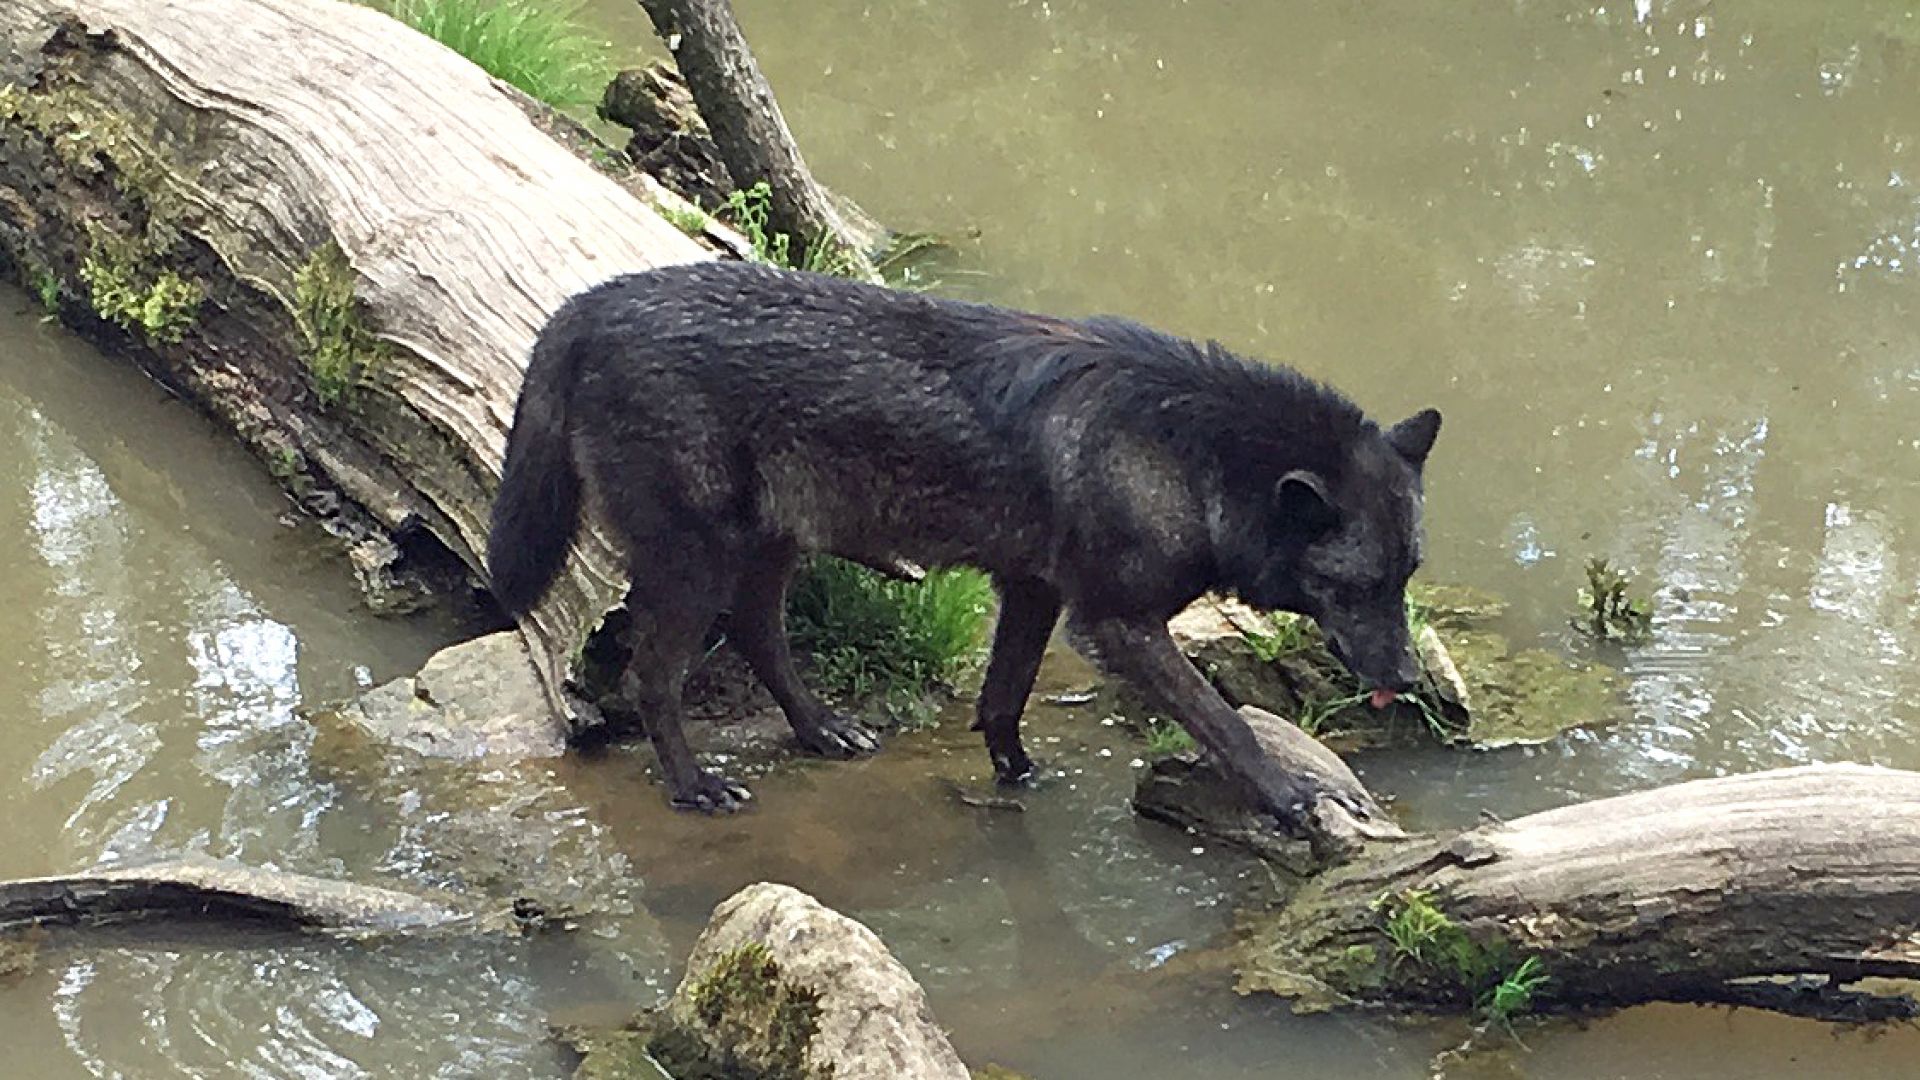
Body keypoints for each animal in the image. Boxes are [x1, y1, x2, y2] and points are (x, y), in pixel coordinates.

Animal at [487, 261, 1436, 822]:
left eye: (1407, 575)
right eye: (1358, 588)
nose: (1409, 676)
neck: (1192, 456)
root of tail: (589, 303)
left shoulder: (1033, 592)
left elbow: (1002, 696)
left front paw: (1015, 773)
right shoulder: (1119, 626)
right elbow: (1225, 723)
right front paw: (1289, 796)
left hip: (770, 544)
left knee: (759, 633)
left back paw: (821, 730)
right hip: (697, 561)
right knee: (654, 676)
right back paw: (694, 787)